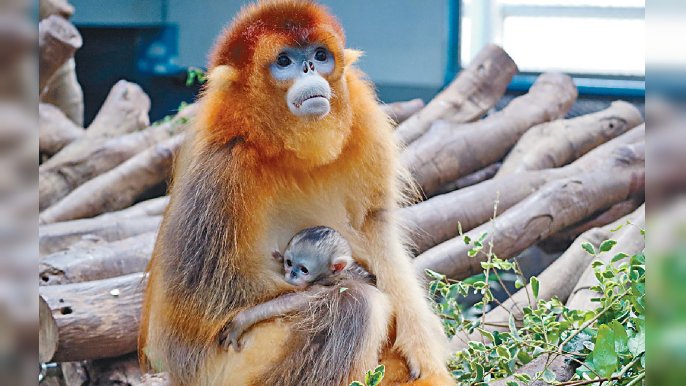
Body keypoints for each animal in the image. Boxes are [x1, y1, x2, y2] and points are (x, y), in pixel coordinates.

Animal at [220, 225, 374, 352]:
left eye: (304, 270)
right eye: (289, 263)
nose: (292, 274)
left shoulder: (320, 287)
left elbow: (294, 302)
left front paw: (240, 321)